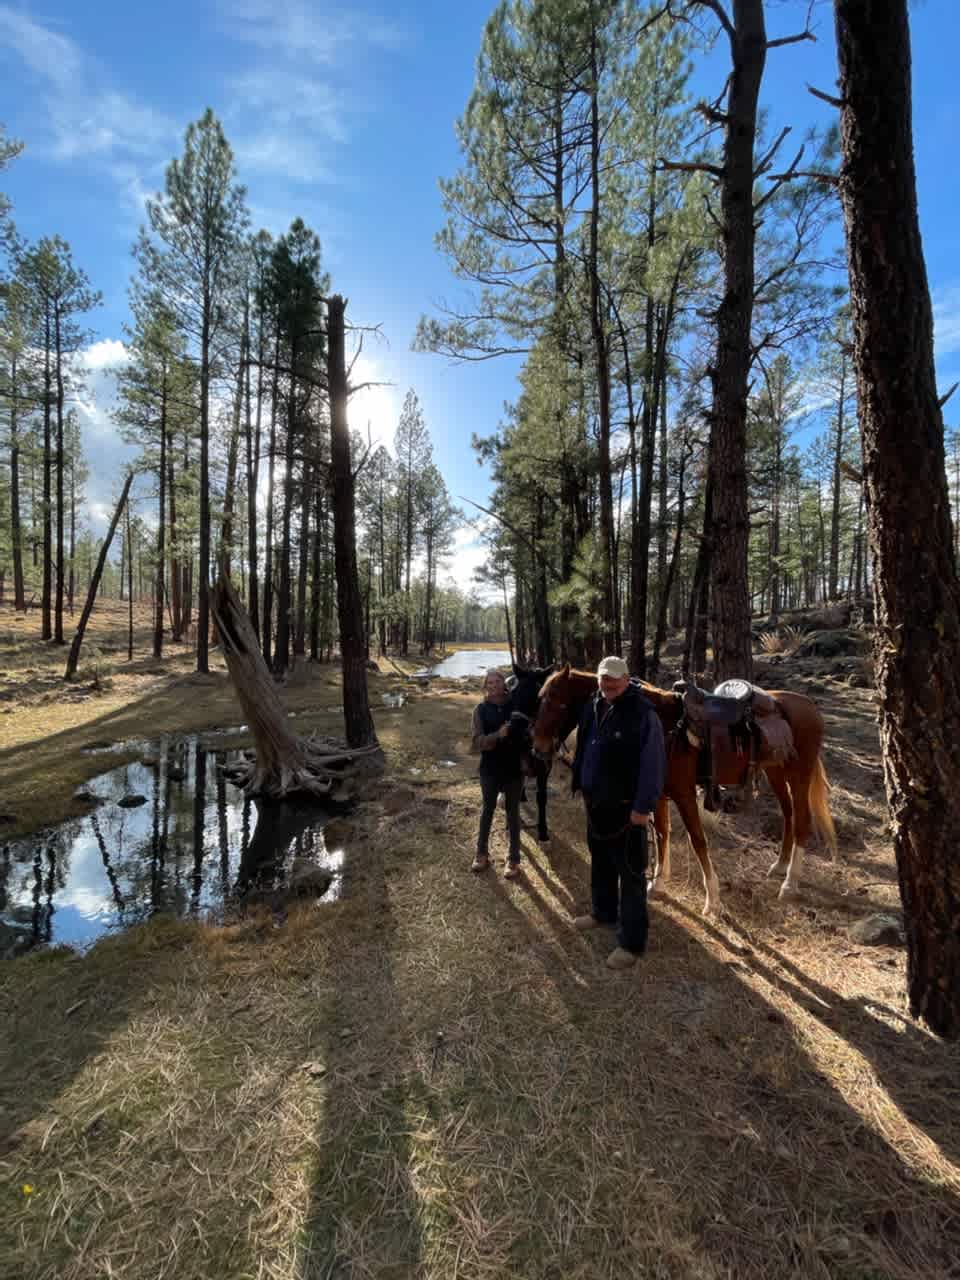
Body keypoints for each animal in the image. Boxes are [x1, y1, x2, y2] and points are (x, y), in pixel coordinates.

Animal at [529, 665, 839, 916]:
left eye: (557, 703)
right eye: (539, 700)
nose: (538, 748)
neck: (662, 724)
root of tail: (809, 706)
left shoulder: (684, 793)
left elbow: (697, 840)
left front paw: (712, 900)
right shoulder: (658, 794)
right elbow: (662, 833)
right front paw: (658, 883)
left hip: (799, 774)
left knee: (802, 821)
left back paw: (789, 884)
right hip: (775, 771)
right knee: (788, 815)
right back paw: (780, 866)